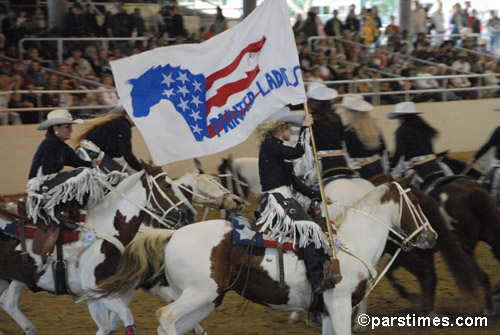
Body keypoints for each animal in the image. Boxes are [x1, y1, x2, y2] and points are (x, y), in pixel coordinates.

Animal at [0, 161, 195, 334]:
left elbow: (106, 328)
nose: (190, 213)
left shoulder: (96, 293)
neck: (104, 231)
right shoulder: (95, 289)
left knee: (8, 302)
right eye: (167, 185)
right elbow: (126, 315)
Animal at [91, 177, 438, 334]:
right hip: (198, 294)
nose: (432, 236)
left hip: (207, 299)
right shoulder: (339, 304)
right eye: (418, 203)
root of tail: (173, 234)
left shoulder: (327, 310)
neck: (349, 243)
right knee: (166, 317)